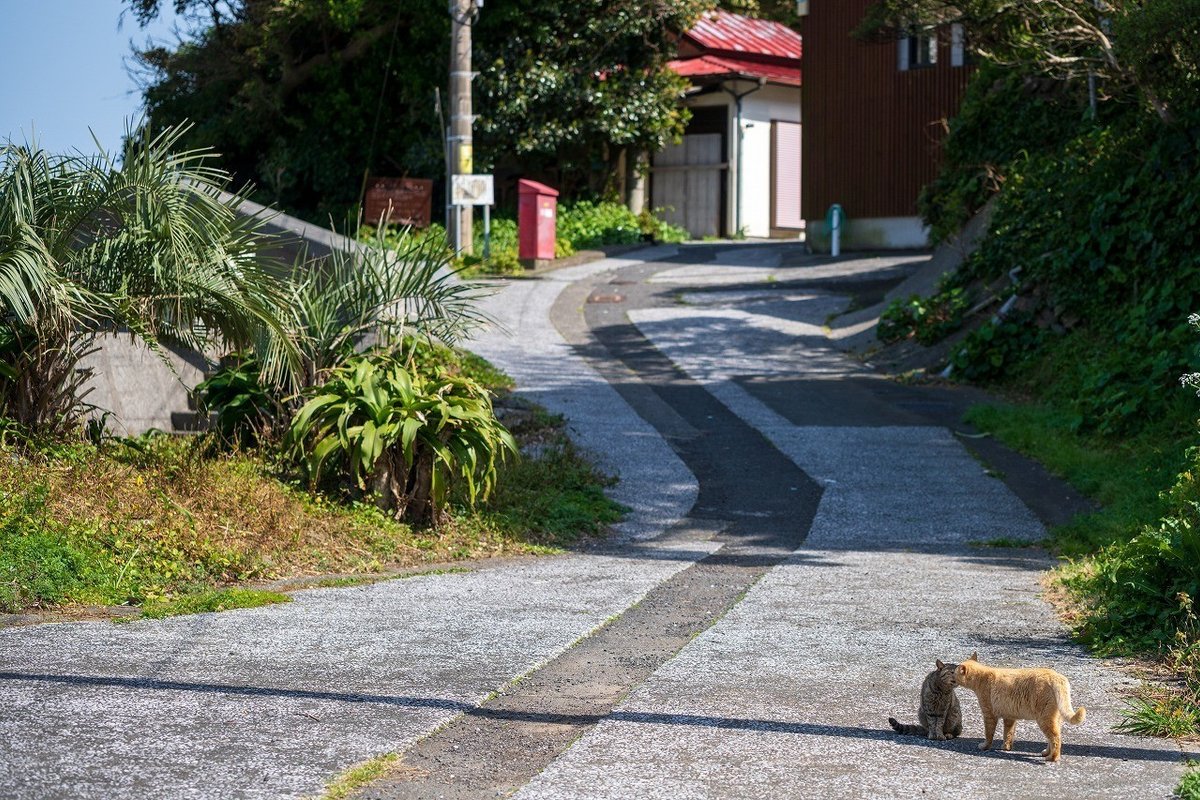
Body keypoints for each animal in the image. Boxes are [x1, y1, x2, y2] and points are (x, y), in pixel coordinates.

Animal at [950, 652, 1084, 762]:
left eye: (953, 673)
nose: (952, 678)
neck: (982, 677)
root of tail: (1057, 677)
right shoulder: (1009, 717)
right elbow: (1008, 734)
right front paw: (1006, 747)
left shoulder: (989, 715)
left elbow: (989, 734)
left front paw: (985, 746)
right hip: (1055, 719)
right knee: (1053, 737)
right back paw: (1046, 753)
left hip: (1044, 718)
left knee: (1056, 738)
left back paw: (1053, 757)